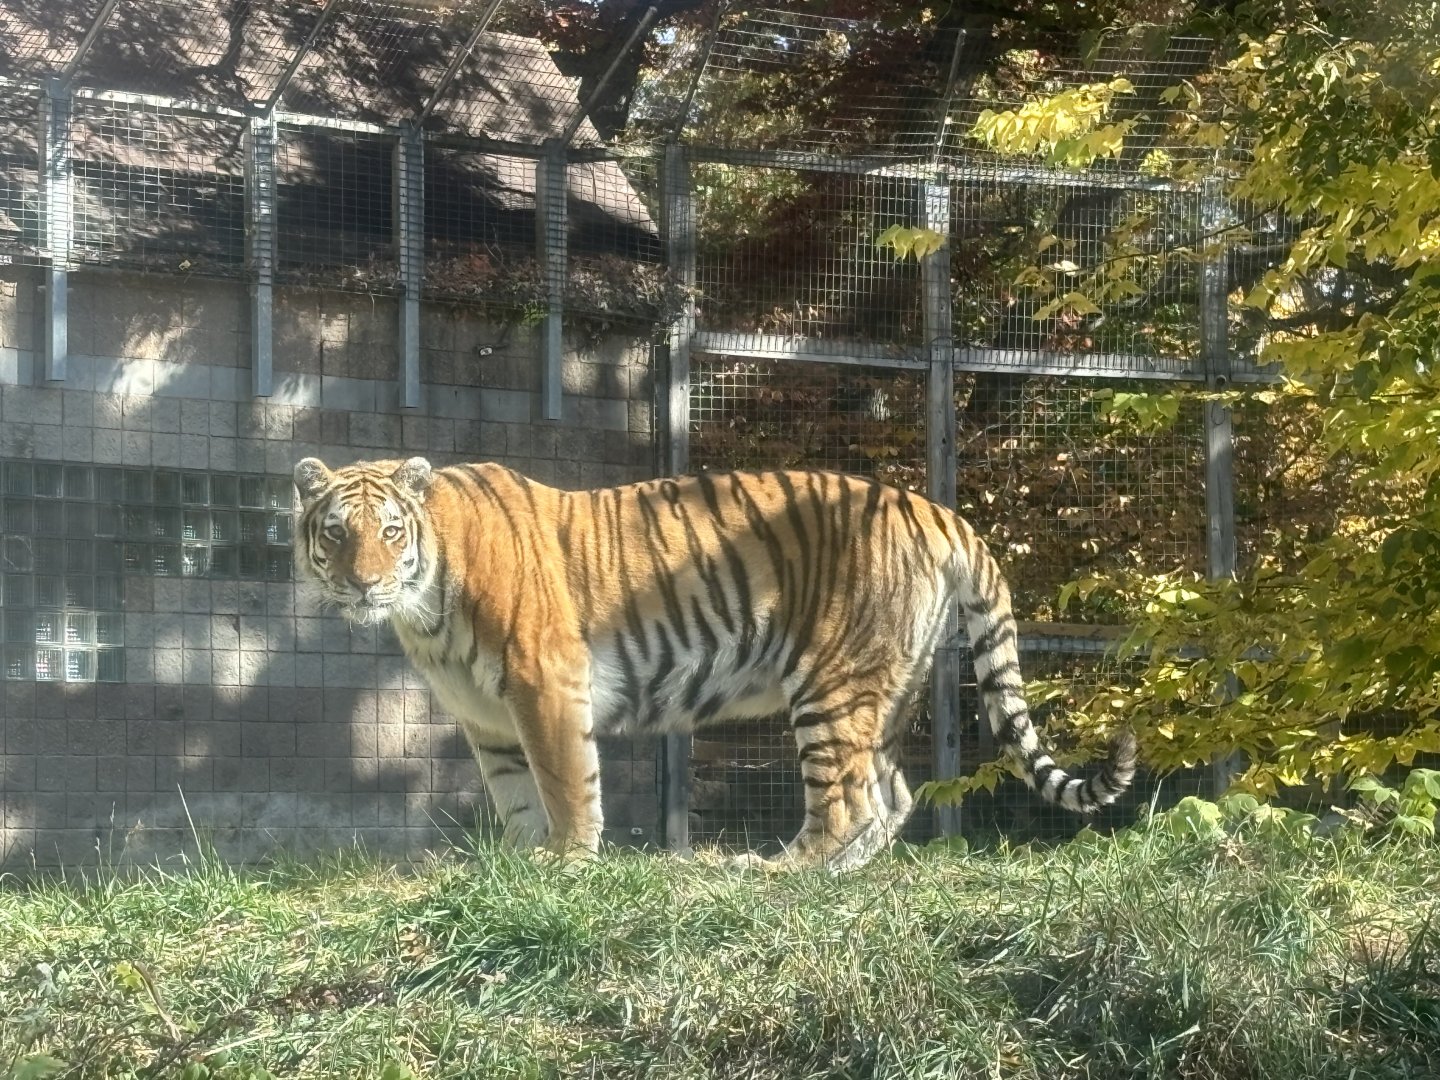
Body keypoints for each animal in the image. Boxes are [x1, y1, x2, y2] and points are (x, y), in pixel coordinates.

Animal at [292, 455, 1137, 871]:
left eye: (391, 531)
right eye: (336, 532)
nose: (364, 583)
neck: (425, 608)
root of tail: (933, 508)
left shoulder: (543, 684)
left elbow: (565, 785)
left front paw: (567, 865)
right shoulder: (486, 718)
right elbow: (516, 799)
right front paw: (523, 868)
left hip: (829, 684)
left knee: (846, 804)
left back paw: (776, 873)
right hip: (887, 692)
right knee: (891, 796)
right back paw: (840, 879)